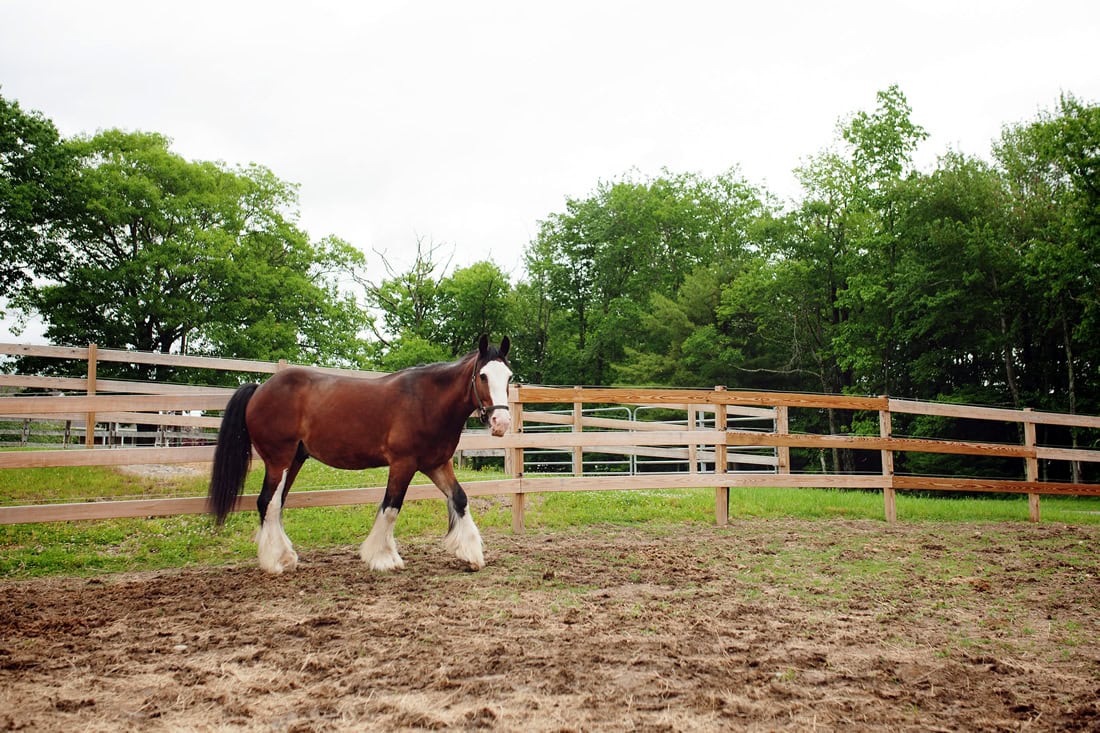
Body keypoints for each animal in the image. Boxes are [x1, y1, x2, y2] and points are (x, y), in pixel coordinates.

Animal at [207, 335, 512, 573]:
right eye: (483, 376)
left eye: (509, 377)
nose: (502, 423)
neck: (427, 401)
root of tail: (260, 388)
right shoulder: (403, 464)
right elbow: (391, 507)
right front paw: (382, 558)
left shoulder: (435, 464)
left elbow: (459, 498)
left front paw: (470, 555)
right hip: (278, 459)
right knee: (267, 503)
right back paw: (275, 562)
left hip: (294, 459)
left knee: (276, 503)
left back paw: (285, 556)